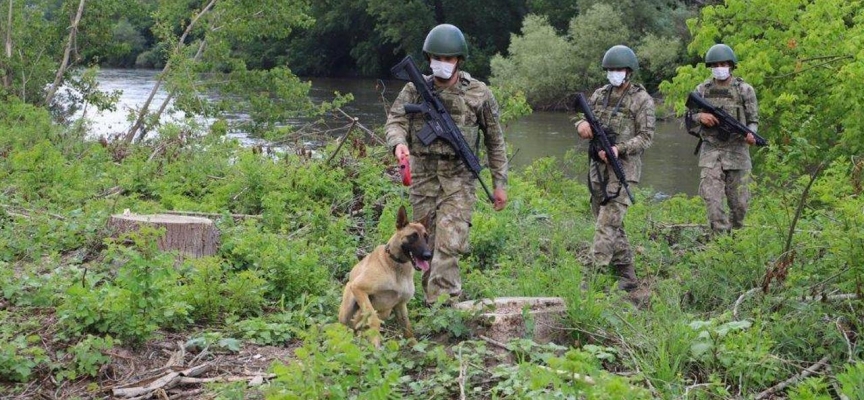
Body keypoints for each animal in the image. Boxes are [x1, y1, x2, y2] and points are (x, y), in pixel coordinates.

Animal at [338, 206, 432, 344]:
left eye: (426, 237)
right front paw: (375, 345)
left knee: (359, 325)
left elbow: (408, 329)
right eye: (413, 237)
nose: (428, 255)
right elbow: (373, 320)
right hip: (346, 309)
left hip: (385, 311)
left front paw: (415, 345)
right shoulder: (358, 287)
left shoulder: (401, 305)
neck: (396, 266)